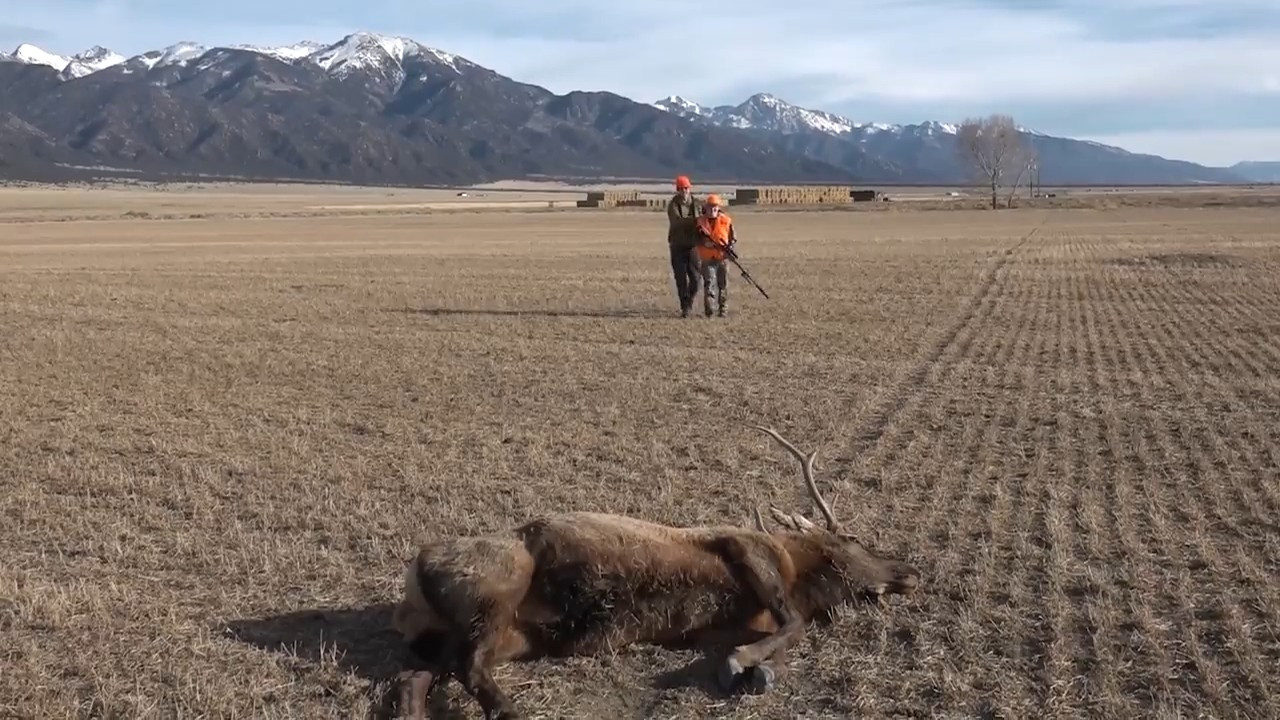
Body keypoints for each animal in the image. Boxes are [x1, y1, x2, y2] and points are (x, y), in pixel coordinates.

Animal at [390, 424, 921, 719]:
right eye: (852, 541)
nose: (910, 570)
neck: (798, 574)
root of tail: (412, 578)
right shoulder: (741, 547)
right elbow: (795, 623)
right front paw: (743, 664)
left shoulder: (714, 626)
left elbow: (787, 633)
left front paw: (762, 668)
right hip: (498, 585)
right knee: (466, 666)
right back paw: (509, 712)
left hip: (504, 637)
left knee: (416, 677)